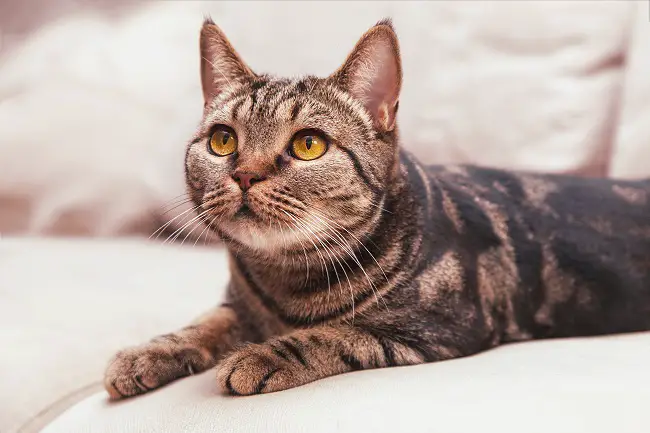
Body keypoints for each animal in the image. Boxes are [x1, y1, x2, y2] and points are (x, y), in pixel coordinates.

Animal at [104, 17, 648, 398]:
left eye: (308, 145)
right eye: (222, 141)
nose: (244, 174)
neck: (286, 278)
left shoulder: (437, 327)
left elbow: (334, 334)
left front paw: (261, 356)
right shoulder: (238, 302)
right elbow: (207, 321)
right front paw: (149, 352)